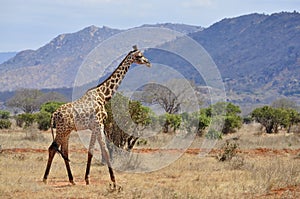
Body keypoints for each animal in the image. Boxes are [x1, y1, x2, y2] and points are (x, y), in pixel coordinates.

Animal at [42, 45, 150, 187]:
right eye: (139, 56)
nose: (148, 62)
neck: (103, 96)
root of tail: (54, 114)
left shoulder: (95, 126)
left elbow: (92, 150)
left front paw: (87, 179)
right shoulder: (99, 124)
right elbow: (105, 151)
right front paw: (113, 181)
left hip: (67, 131)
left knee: (64, 150)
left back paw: (72, 180)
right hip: (62, 130)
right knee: (52, 148)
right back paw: (45, 179)